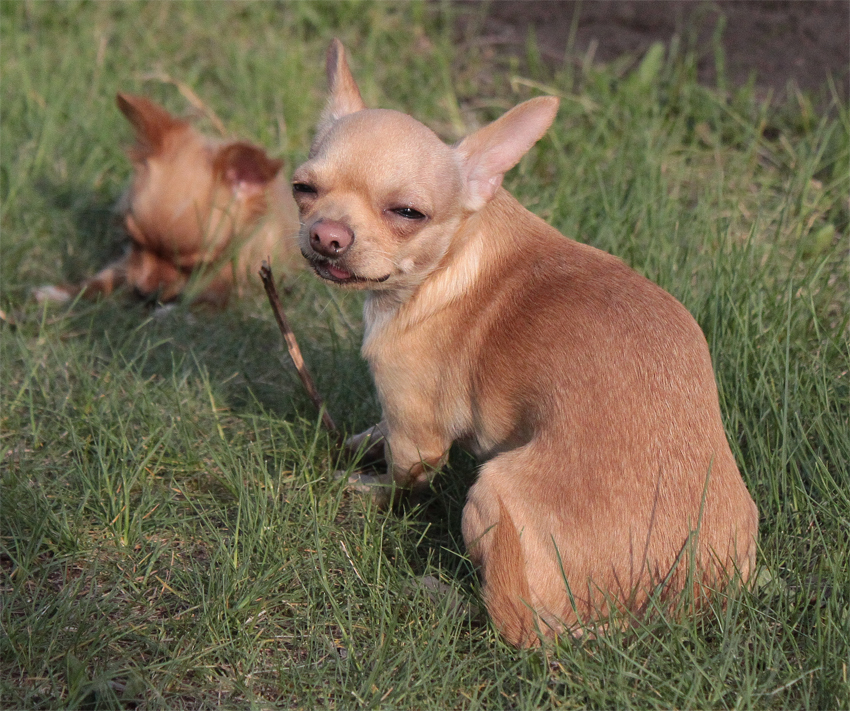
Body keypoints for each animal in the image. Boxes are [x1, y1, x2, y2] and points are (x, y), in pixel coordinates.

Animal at [35, 93, 301, 307]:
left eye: (190, 265)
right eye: (135, 241)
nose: (143, 292)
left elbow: (204, 301)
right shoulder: (128, 261)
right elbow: (107, 276)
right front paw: (63, 293)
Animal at [292, 40, 759, 647]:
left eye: (407, 213)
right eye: (301, 189)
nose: (326, 235)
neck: (449, 258)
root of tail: (667, 605)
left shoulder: (418, 436)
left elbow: (400, 478)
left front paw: (366, 488)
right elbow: (377, 433)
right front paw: (360, 440)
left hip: (490, 495)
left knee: (506, 618)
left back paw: (444, 595)